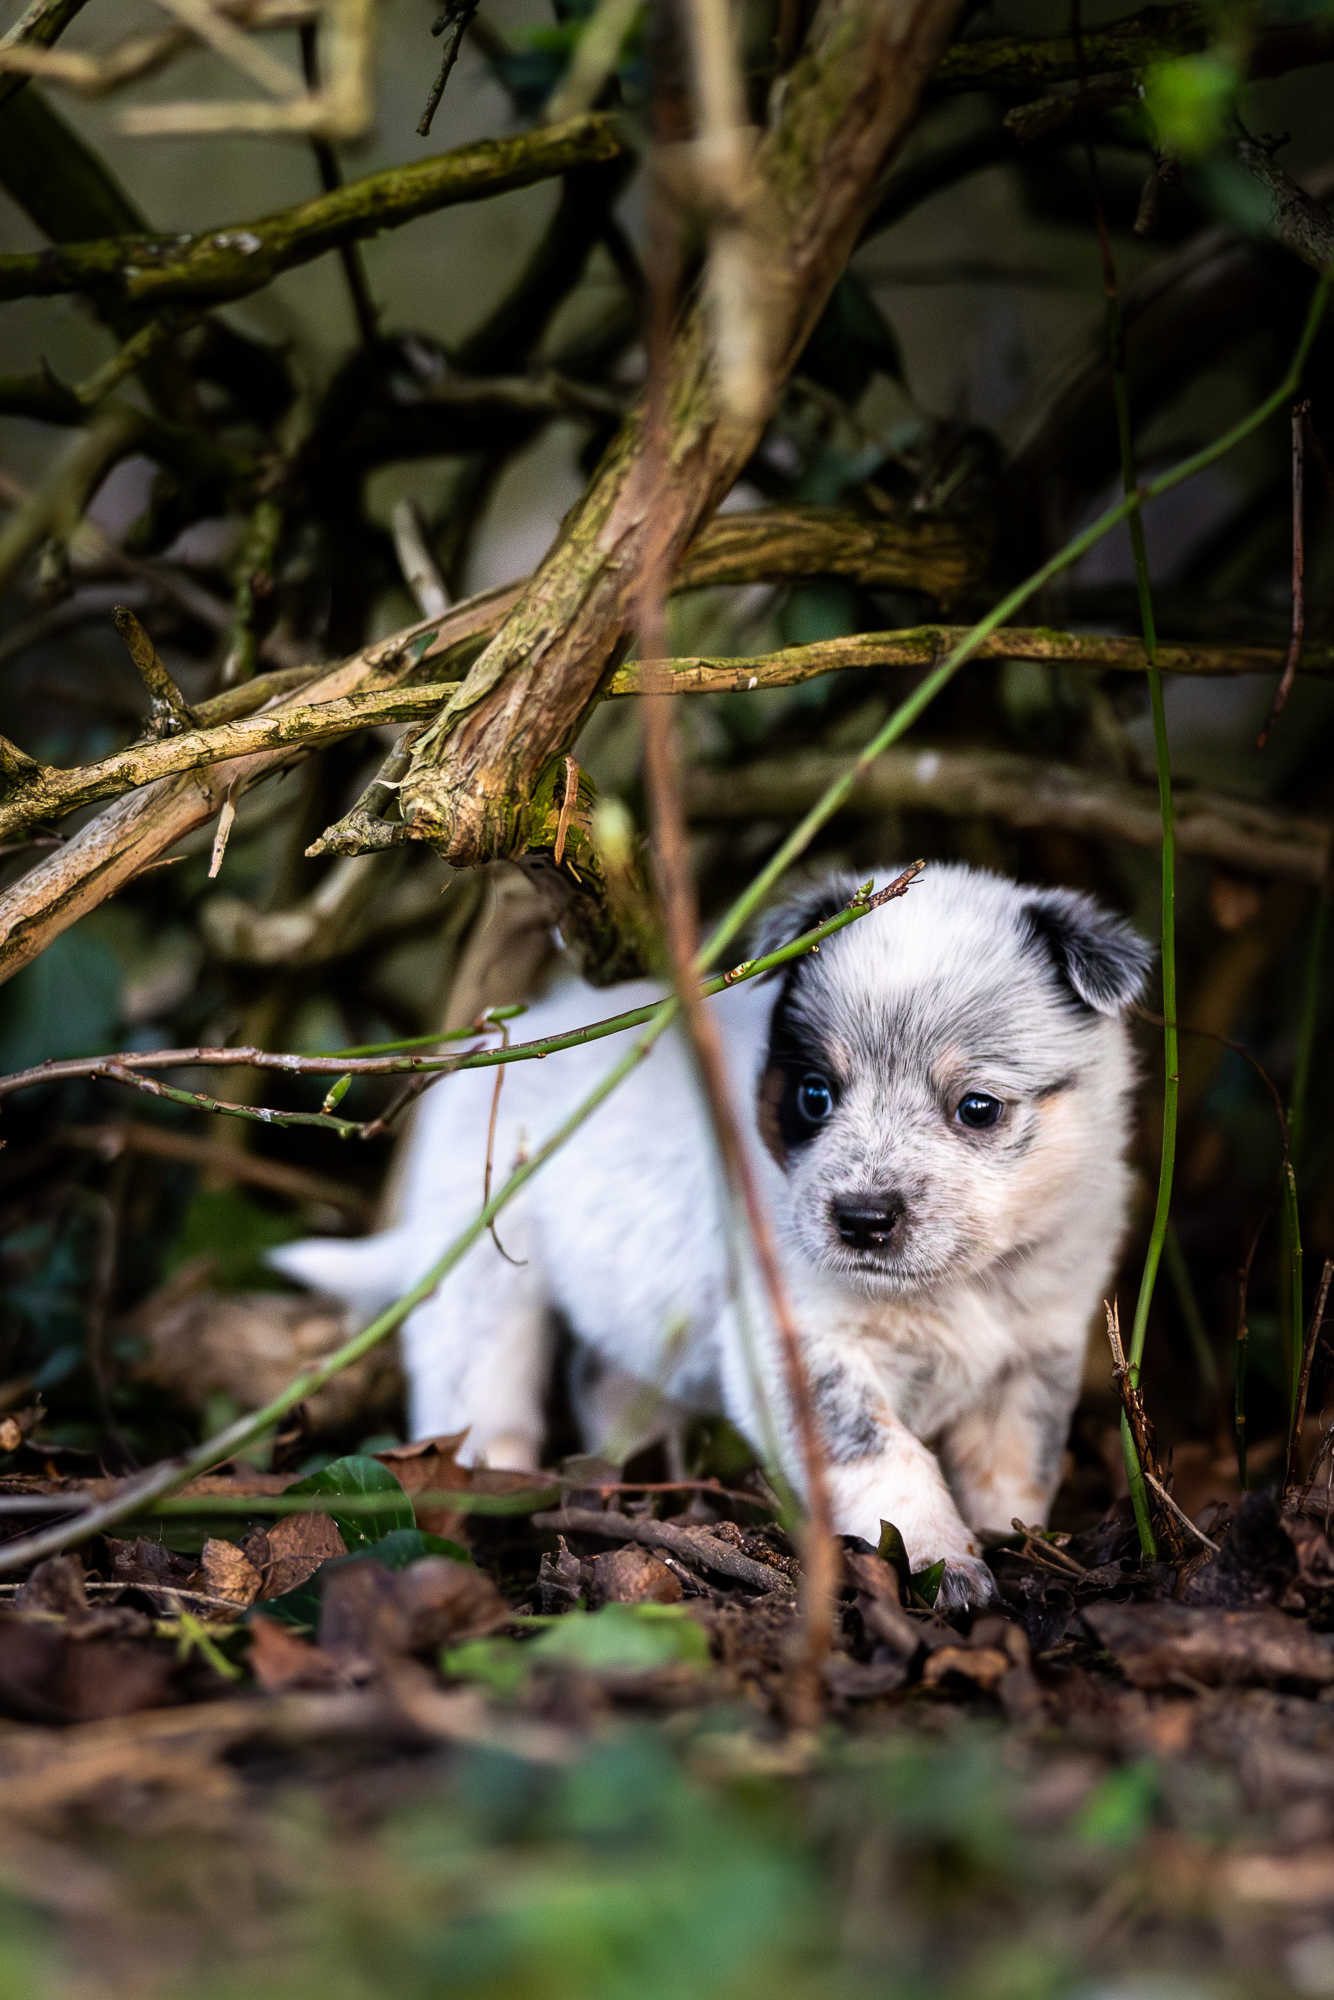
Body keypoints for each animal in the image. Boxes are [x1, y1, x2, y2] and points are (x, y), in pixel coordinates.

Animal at [272, 863, 1149, 1605]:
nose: (861, 1218)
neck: (960, 1285)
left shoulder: (1034, 1354)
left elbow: (1017, 1468)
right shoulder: (804, 1347)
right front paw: (943, 1559)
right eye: (814, 1095)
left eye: (978, 1108)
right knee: (481, 1393)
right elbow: (887, 1458)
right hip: (481, 1280)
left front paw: (1014, 1542)